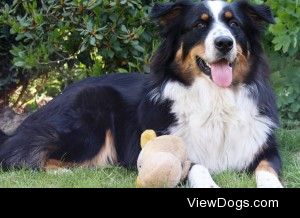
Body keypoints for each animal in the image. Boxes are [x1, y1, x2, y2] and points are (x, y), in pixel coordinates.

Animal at [0, 0, 284, 187]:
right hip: (89, 115)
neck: (216, 98)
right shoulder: (176, 147)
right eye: (199, 25)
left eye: (234, 23)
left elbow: (267, 170)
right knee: (18, 155)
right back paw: (64, 174)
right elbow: (198, 167)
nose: (224, 43)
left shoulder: (265, 148)